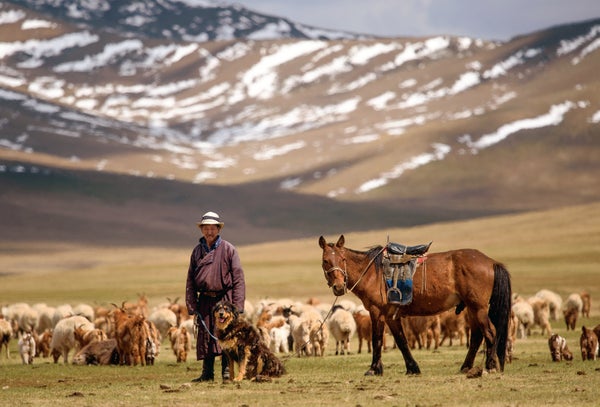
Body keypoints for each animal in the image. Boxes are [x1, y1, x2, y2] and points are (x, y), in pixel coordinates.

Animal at [318, 236, 510, 376]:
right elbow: (401, 341)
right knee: (477, 336)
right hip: (471, 308)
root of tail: (491, 262)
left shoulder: (377, 312)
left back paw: (490, 366)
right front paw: (412, 368)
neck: (372, 273)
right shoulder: (391, 316)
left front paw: (373, 369)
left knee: (490, 332)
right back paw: (466, 367)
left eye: (342, 259)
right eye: (326, 260)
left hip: (478, 308)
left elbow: (377, 339)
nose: (338, 287)